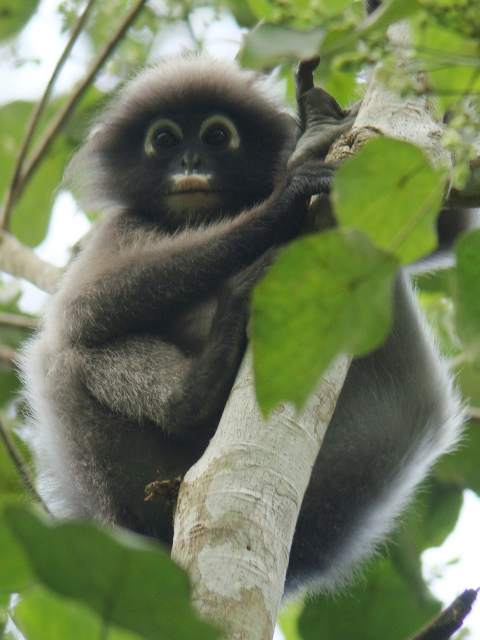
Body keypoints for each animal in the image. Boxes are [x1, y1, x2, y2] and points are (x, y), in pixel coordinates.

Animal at [19, 51, 464, 600]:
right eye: (164, 140)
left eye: (216, 136)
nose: (190, 164)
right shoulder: (122, 225)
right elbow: (84, 307)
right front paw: (289, 187)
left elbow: (440, 227)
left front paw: (313, 134)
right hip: (125, 482)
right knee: (69, 352)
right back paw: (195, 389)